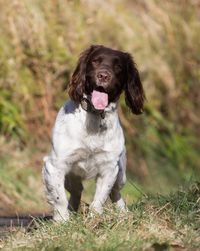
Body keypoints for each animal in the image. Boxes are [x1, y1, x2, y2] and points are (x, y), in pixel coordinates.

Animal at [42, 45, 145, 222]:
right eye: (95, 61)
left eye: (118, 67)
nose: (103, 75)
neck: (95, 117)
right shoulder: (55, 166)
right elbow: (59, 198)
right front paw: (63, 221)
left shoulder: (109, 168)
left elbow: (100, 198)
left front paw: (94, 219)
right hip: (71, 177)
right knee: (76, 191)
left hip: (121, 175)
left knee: (115, 192)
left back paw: (123, 213)